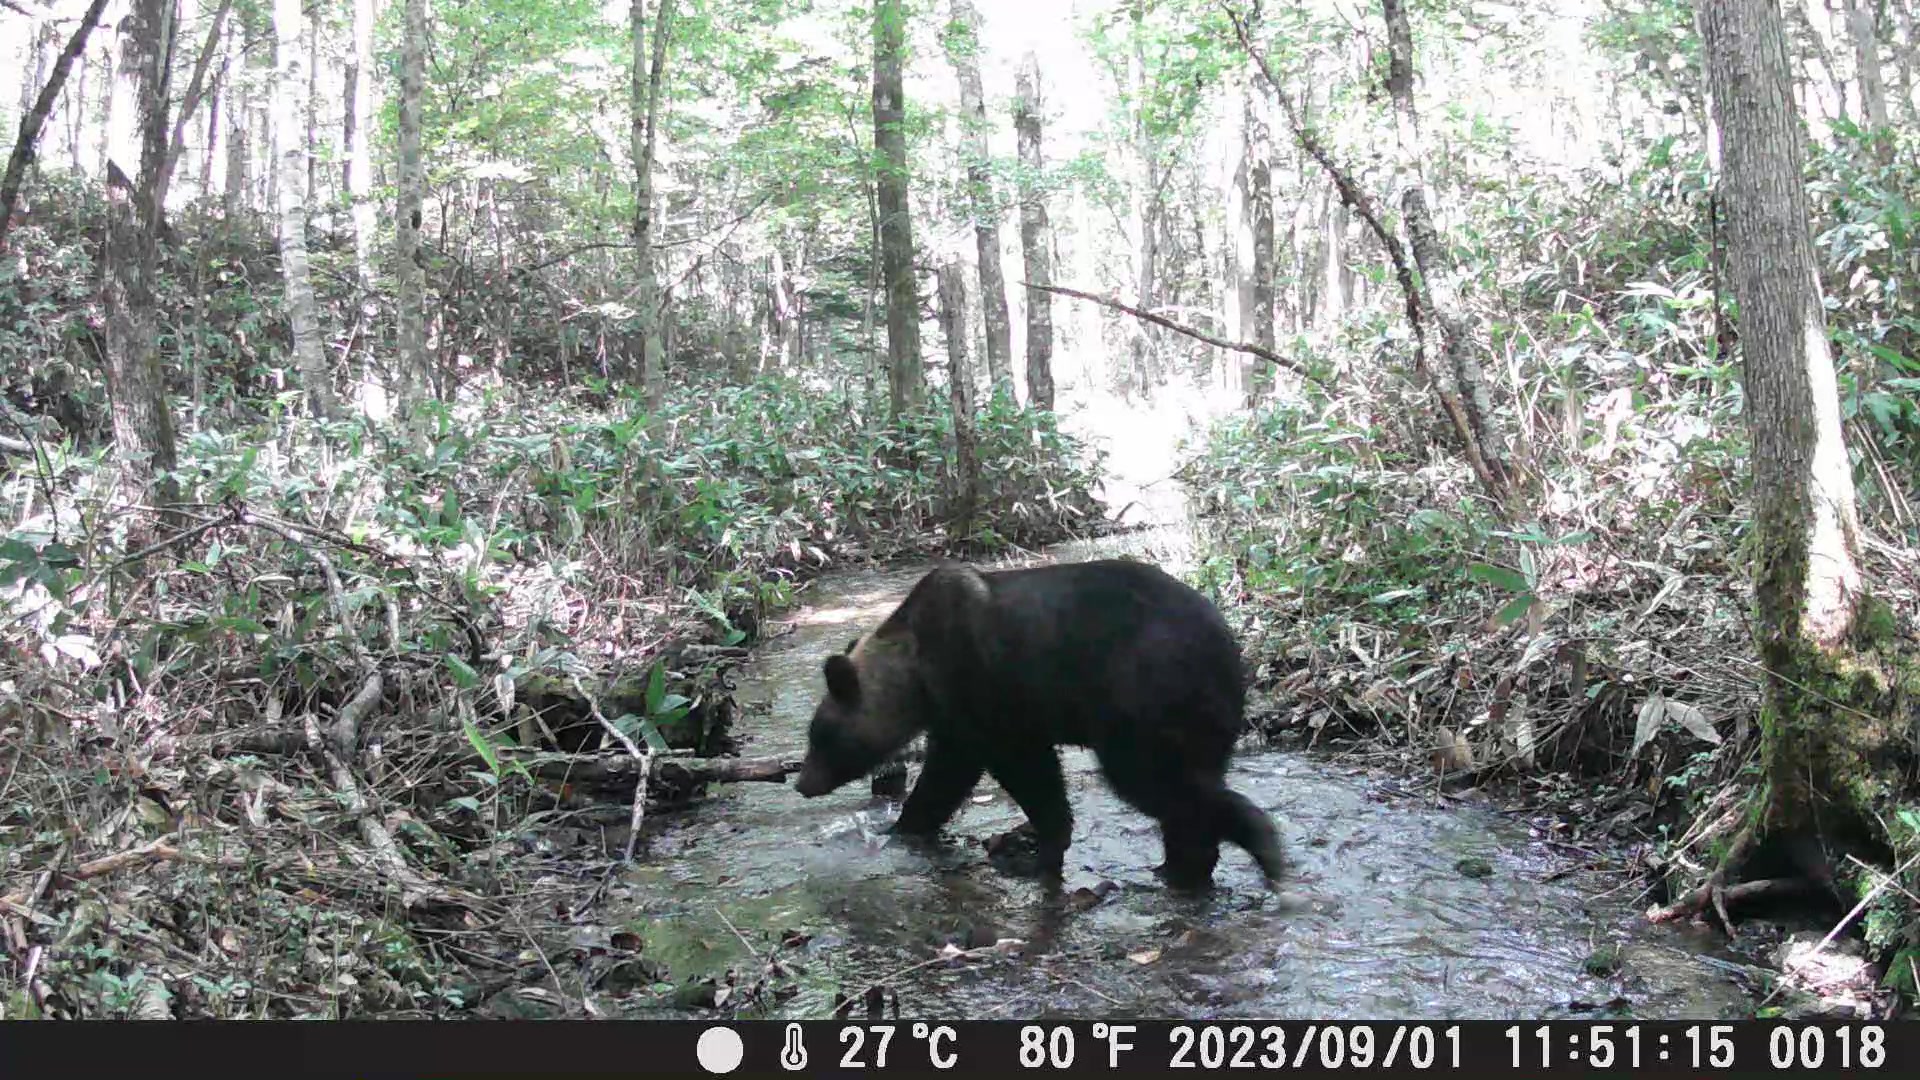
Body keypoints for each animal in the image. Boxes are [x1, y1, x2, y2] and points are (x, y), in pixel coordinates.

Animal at [792, 557, 1286, 893]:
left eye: (820, 735)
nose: (802, 783)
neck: (918, 677)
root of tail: (1230, 647)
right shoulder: (963, 716)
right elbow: (958, 774)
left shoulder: (985, 687)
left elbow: (1009, 767)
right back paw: (1180, 866)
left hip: (1145, 695)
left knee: (1156, 782)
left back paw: (1256, 845)